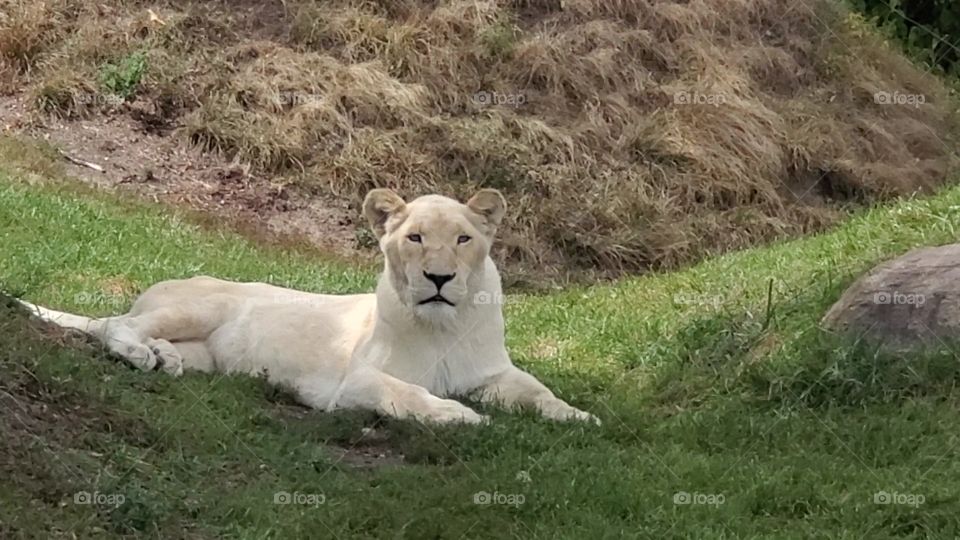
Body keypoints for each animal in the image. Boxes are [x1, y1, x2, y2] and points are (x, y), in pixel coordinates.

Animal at [19, 189, 597, 425]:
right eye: (414, 238)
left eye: (462, 239)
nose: (439, 278)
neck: (443, 325)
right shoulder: (357, 383)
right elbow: (408, 394)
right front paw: (460, 415)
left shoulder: (492, 373)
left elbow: (538, 391)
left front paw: (579, 416)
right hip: (202, 305)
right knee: (112, 324)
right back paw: (141, 355)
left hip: (207, 353)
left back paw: (167, 358)